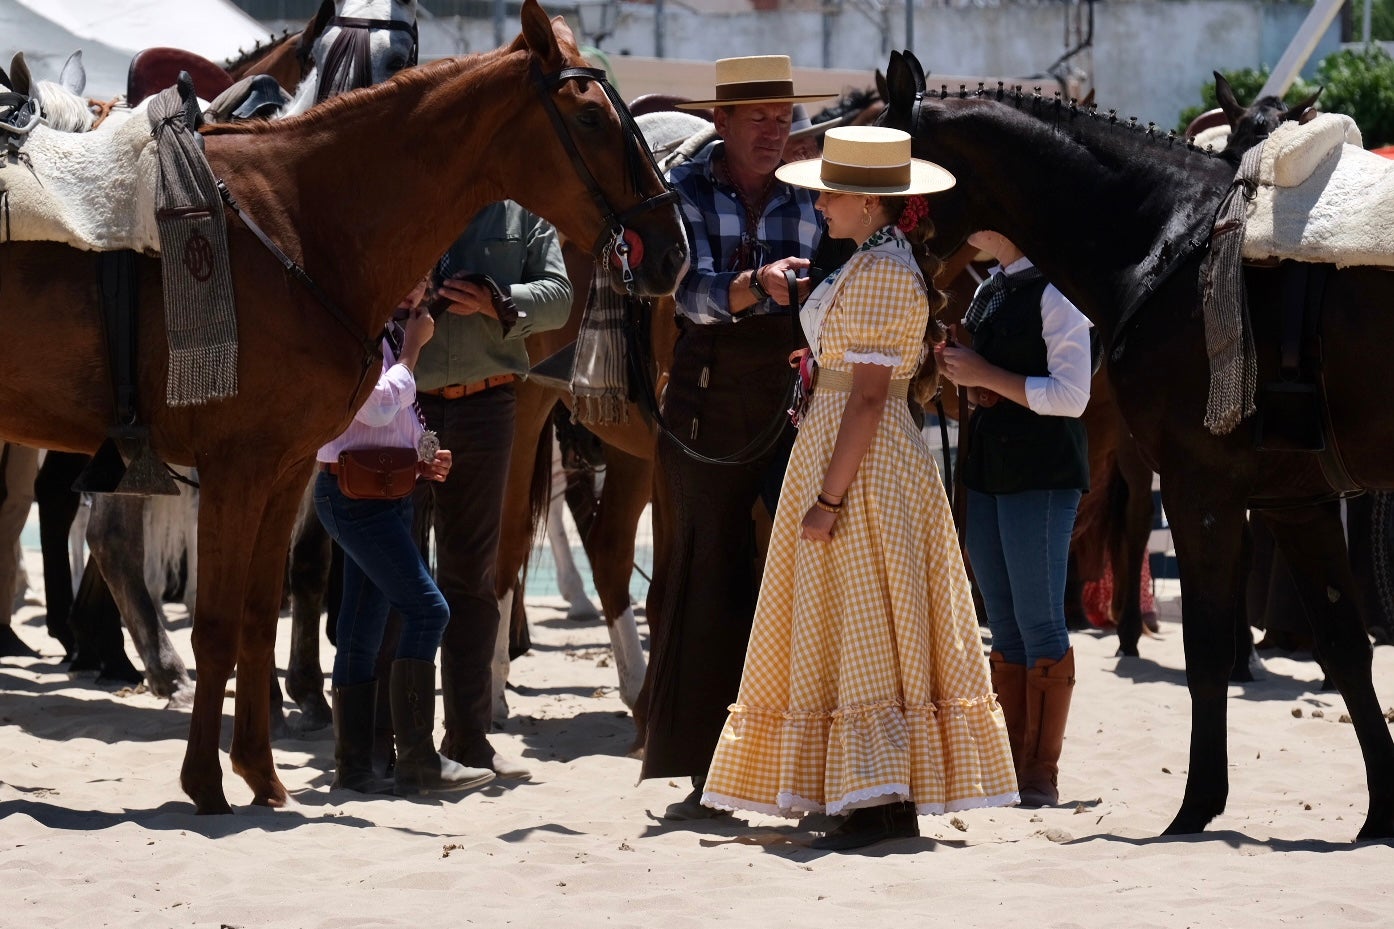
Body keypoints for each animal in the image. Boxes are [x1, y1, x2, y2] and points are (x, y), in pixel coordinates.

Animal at [0, 1, 685, 809]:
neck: (295, 224)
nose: (671, 247)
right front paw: (206, 783)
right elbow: (218, 623)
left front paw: (260, 773)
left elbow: (257, 616)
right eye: (588, 117)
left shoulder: (285, 469)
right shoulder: (234, 470)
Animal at [881, 48, 1394, 836]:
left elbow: (1208, 648)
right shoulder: (1295, 500)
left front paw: (1196, 804)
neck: (1169, 241)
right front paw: (1383, 814)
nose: (826, 264)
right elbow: (1344, 645)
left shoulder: (1202, 490)